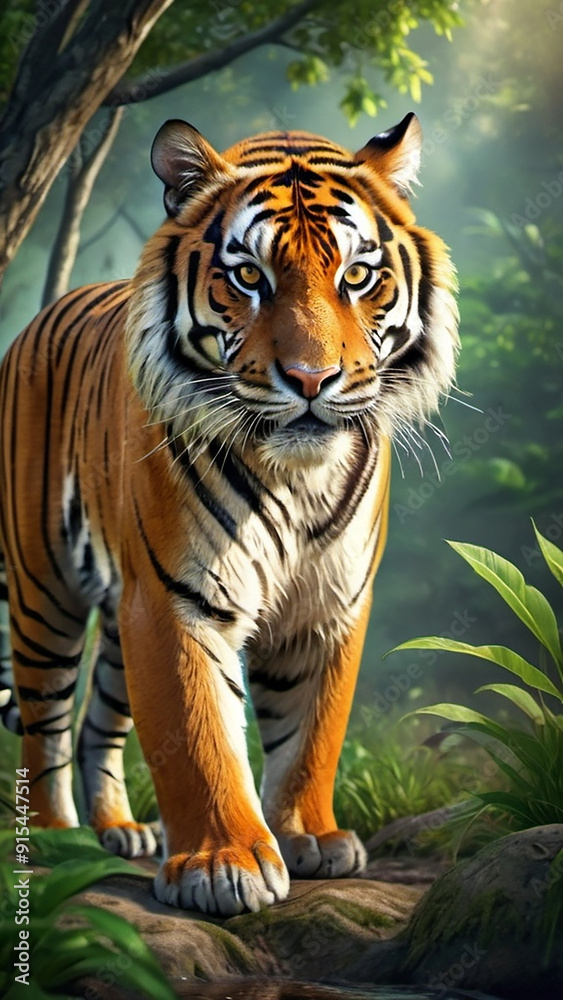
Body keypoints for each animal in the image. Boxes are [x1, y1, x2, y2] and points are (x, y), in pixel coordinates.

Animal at [0, 112, 458, 916]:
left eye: (357, 275)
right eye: (249, 276)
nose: (311, 378)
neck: (299, 478)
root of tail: (37, 318)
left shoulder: (329, 603)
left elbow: (311, 730)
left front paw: (310, 836)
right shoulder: (174, 600)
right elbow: (197, 735)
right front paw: (223, 863)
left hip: (115, 612)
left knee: (97, 720)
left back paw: (119, 830)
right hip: (43, 592)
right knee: (44, 724)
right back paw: (54, 840)